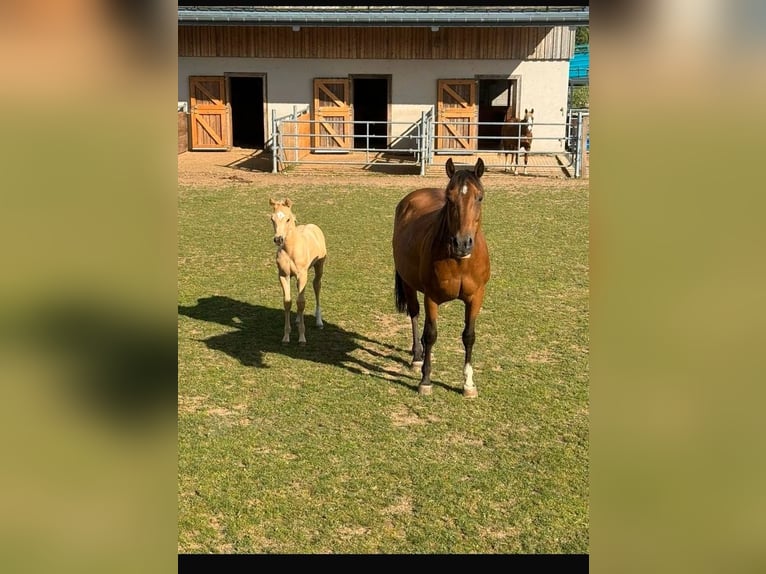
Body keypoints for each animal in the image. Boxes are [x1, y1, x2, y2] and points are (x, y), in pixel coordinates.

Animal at [269, 197, 327, 344]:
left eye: (288, 219)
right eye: (272, 218)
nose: (278, 239)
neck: (291, 250)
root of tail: (313, 226)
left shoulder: (302, 275)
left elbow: (301, 303)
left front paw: (302, 338)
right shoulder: (283, 275)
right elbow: (288, 302)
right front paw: (286, 337)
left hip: (319, 266)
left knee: (317, 286)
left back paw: (319, 322)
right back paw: (297, 320)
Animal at [392, 157, 490, 398]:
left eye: (479, 197)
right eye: (449, 197)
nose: (462, 243)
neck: (461, 262)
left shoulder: (476, 297)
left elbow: (469, 336)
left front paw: (468, 384)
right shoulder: (432, 297)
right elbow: (431, 334)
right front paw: (425, 380)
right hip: (408, 284)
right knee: (414, 314)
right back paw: (417, 357)